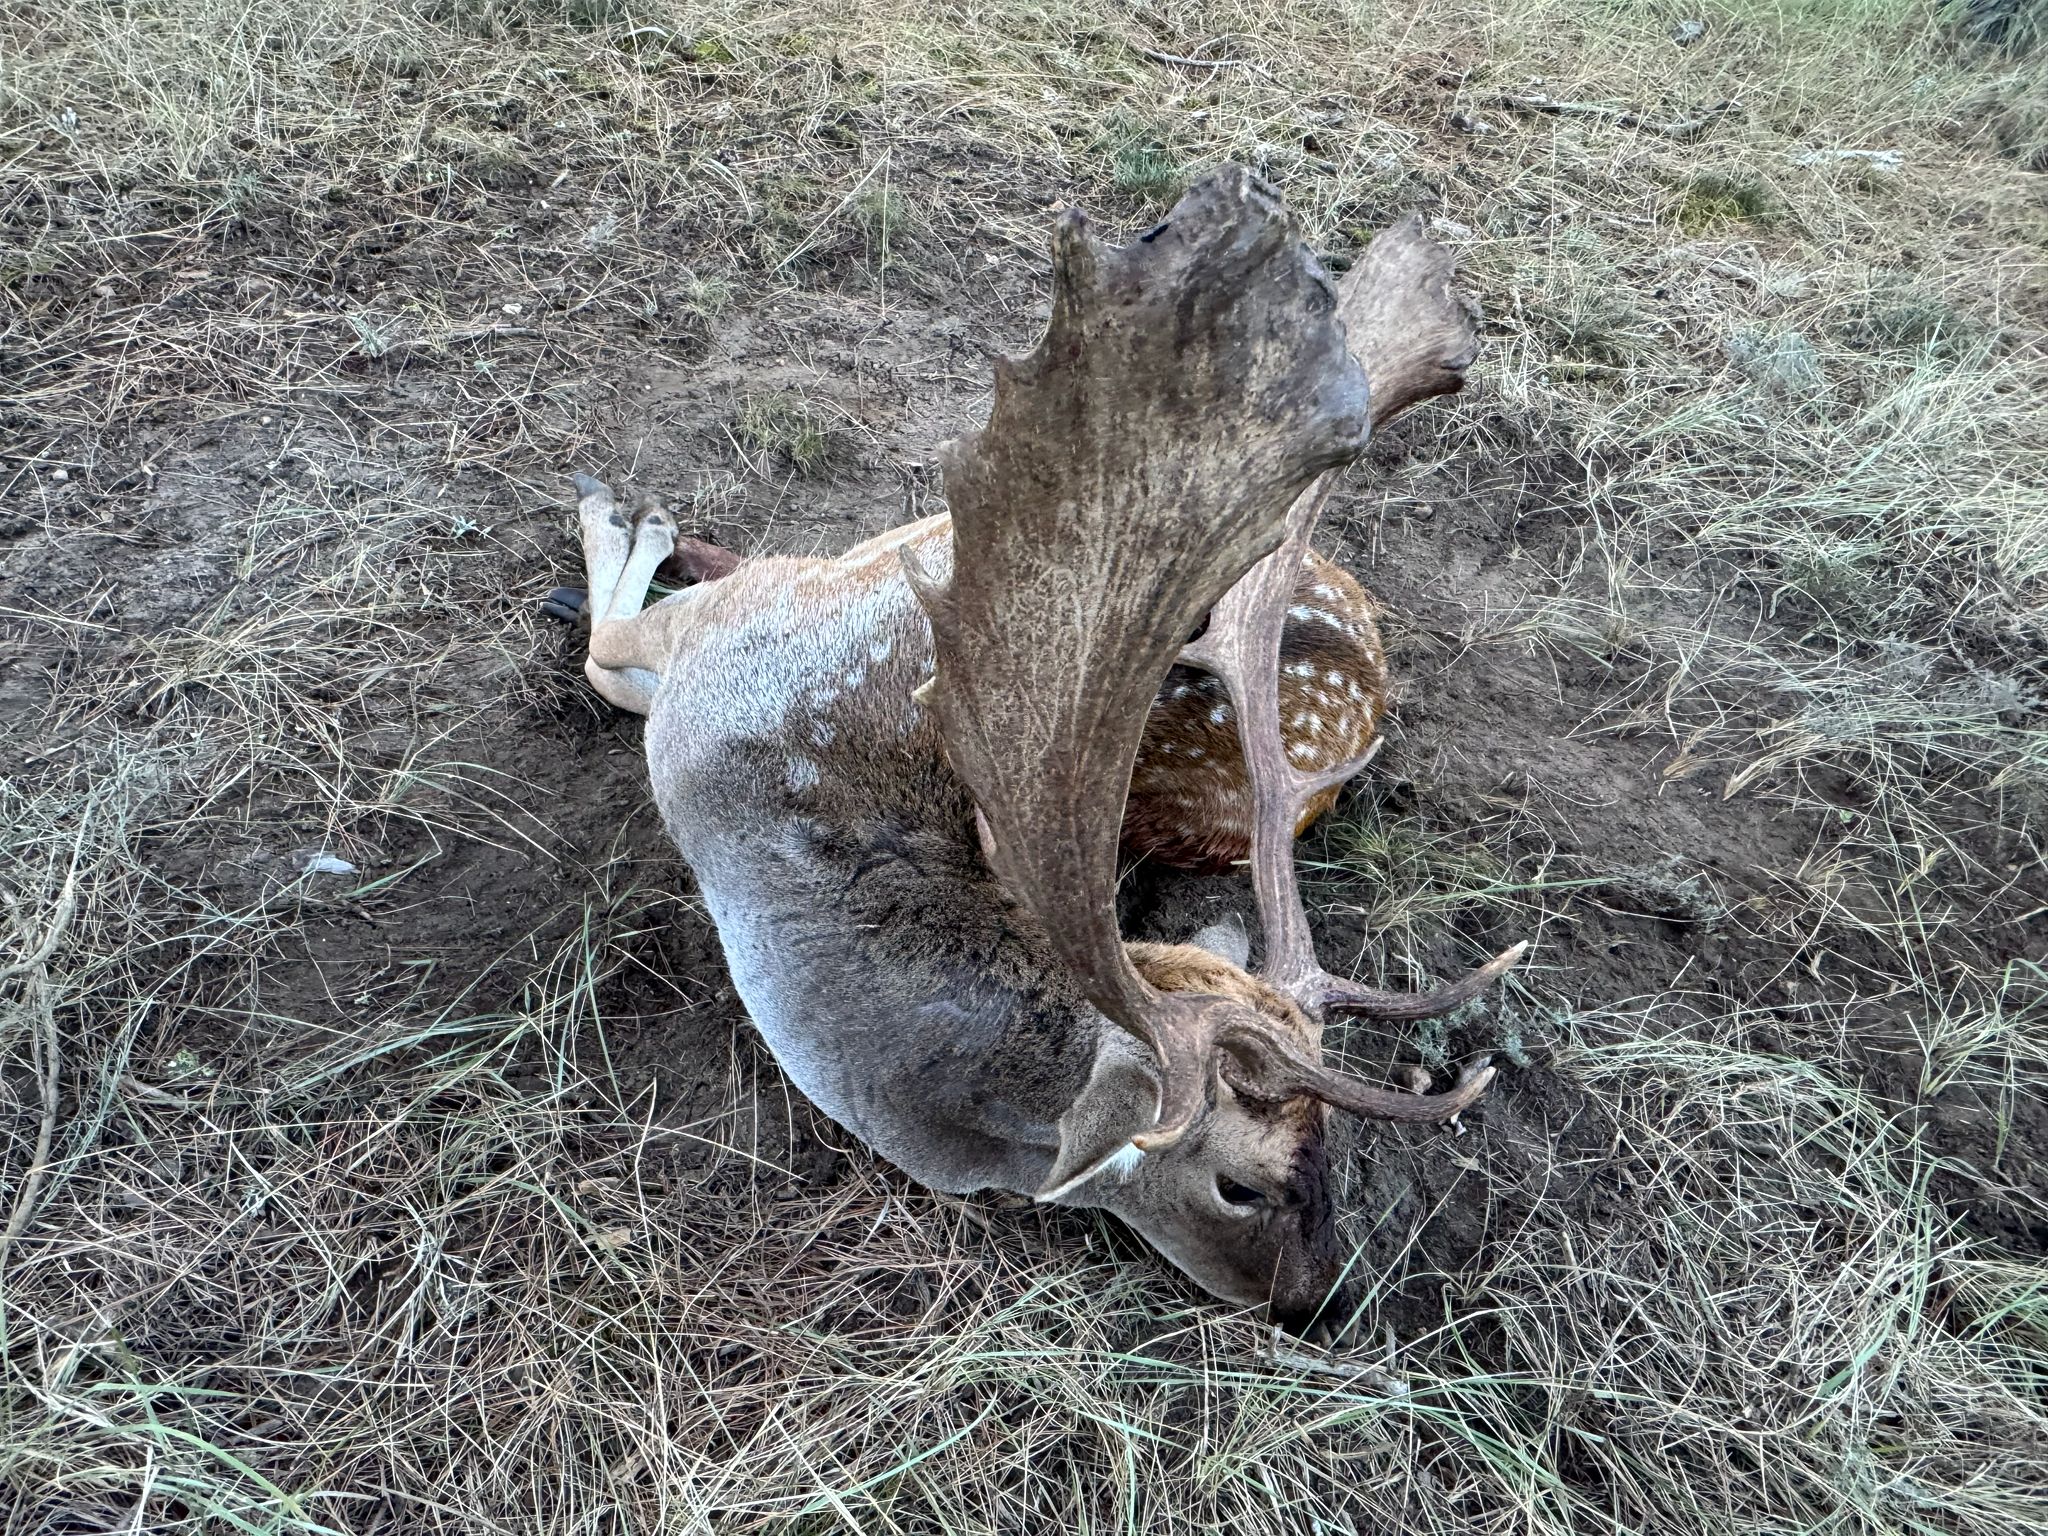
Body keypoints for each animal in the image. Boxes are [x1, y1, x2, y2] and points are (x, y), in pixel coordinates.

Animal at [560, 166, 1525, 1338]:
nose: (1320, 1300)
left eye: (1333, 1144)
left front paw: (632, 519)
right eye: (1240, 1185)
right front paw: (625, 515)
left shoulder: (743, 628)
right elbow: (604, 651)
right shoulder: (738, 629)